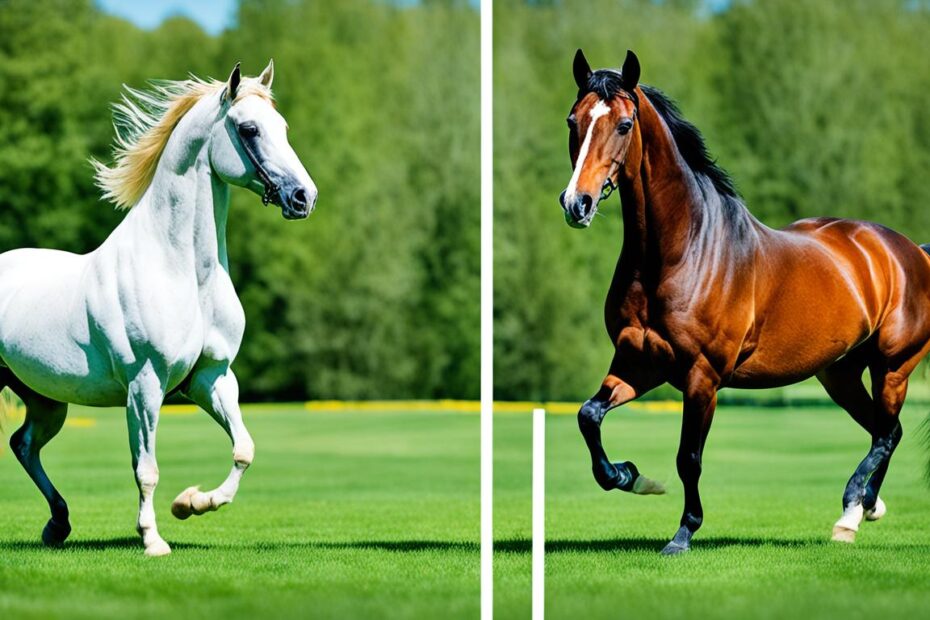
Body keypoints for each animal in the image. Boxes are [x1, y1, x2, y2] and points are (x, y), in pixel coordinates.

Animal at [0, 61, 316, 556]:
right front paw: (153, 539)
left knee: (24, 445)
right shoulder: (145, 385)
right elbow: (146, 469)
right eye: (249, 129)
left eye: (281, 127)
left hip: (46, 400)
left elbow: (243, 450)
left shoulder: (212, 378)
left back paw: (58, 525)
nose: (304, 197)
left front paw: (191, 503)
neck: (180, 270)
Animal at [559, 49, 930, 555]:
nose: (576, 203)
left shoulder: (702, 376)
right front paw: (633, 477)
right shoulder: (640, 363)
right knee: (883, 430)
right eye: (573, 121)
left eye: (623, 124)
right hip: (840, 374)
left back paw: (850, 512)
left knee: (887, 432)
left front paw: (683, 534)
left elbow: (689, 457)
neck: (685, 250)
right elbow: (588, 417)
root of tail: (911, 251)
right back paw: (863, 510)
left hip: (894, 367)